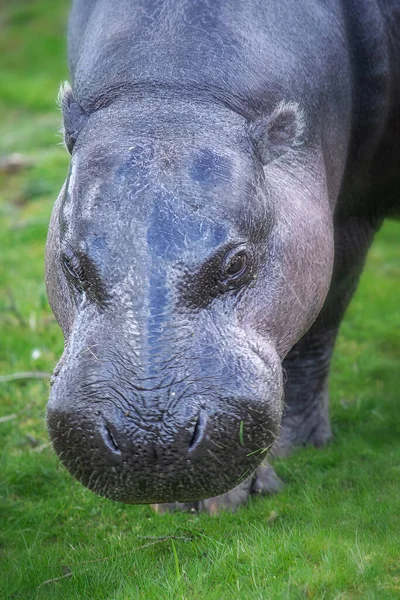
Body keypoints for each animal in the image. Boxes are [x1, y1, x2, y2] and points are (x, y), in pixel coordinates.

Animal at [45, 1, 398, 516]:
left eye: (237, 263)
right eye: (70, 262)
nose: (150, 436)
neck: (173, 93)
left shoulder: (350, 216)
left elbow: (320, 326)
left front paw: (293, 451)